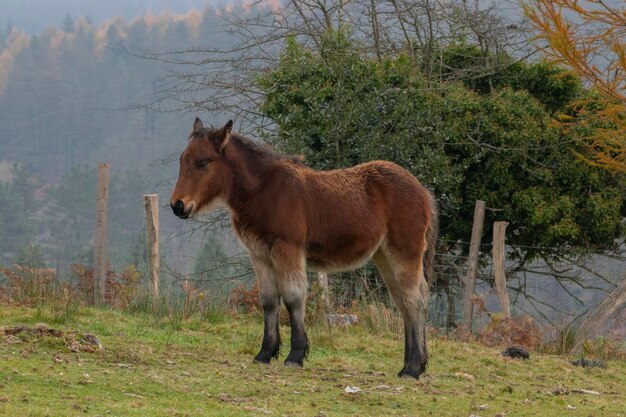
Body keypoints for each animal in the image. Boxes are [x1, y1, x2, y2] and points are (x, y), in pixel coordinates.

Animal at [168, 118, 436, 376]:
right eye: (182, 160)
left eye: (203, 162)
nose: (178, 205)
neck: (264, 190)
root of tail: (423, 191)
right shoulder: (260, 255)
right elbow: (269, 300)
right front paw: (265, 353)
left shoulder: (287, 250)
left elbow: (293, 297)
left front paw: (295, 355)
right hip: (384, 257)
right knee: (404, 302)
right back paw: (412, 364)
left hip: (405, 253)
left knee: (414, 301)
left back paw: (413, 368)